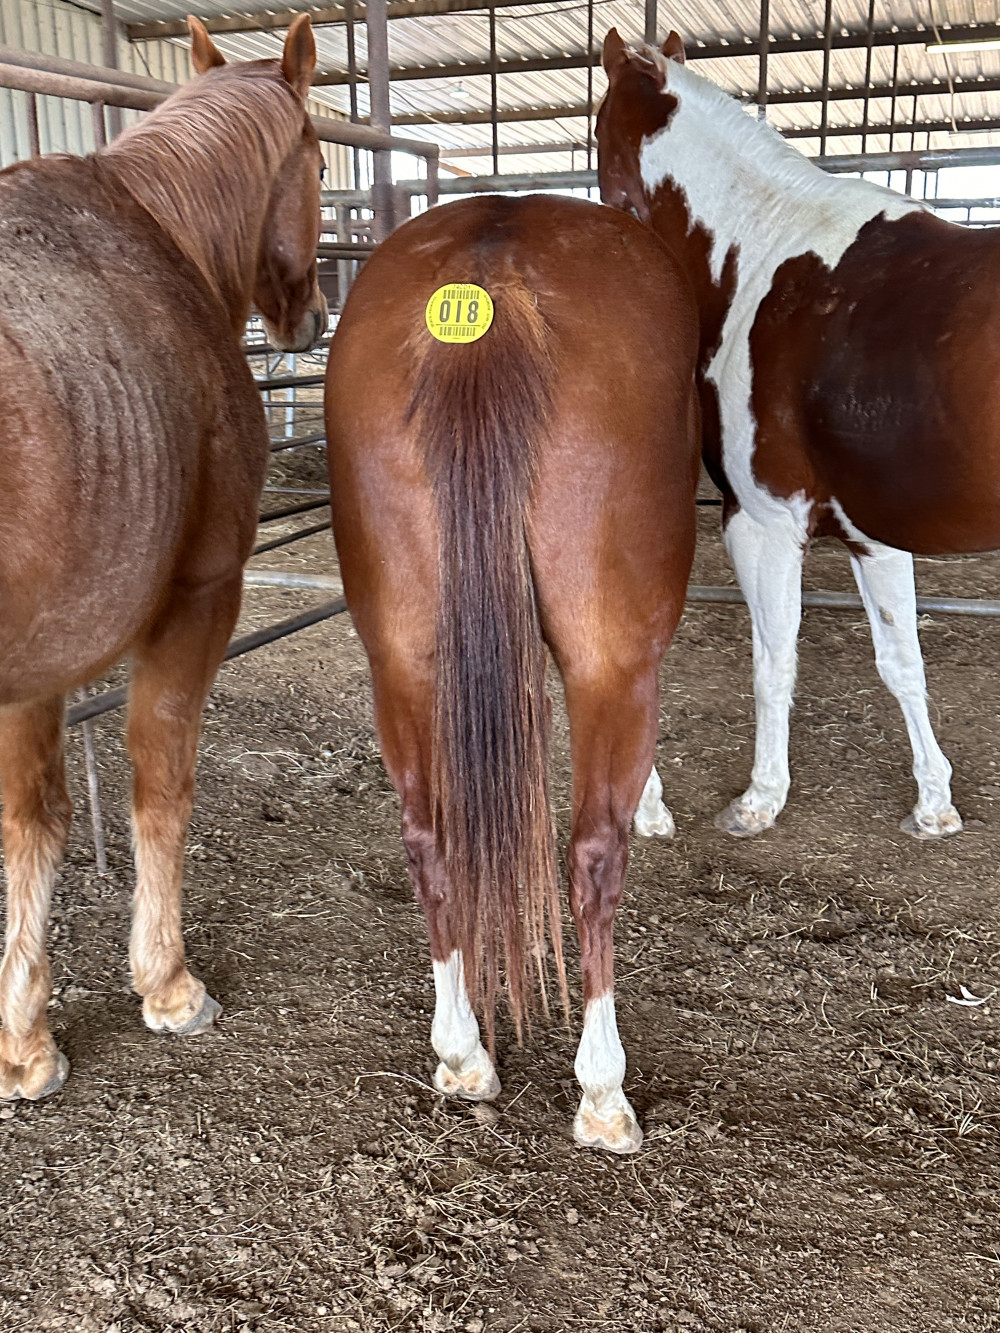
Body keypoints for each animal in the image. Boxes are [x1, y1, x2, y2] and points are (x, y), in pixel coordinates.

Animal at [0, 16, 326, 1101]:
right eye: (320, 161)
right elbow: (161, 778)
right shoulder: (199, 596)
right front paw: (168, 984)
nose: (310, 316)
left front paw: (23, 1038)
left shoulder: (38, 658)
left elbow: (31, 819)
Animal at [325, 193, 699, 1153]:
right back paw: (603, 1093)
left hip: (402, 655)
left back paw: (463, 1054)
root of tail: (487, 277)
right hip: (609, 661)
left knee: (429, 838)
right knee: (593, 858)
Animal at [596, 28, 966, 844]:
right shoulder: (870, 533)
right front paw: (933, 802)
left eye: (599, 139)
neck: (768, 252)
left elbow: (774, 663)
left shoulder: (762, 525)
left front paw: (760, 799)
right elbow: (903, 661)